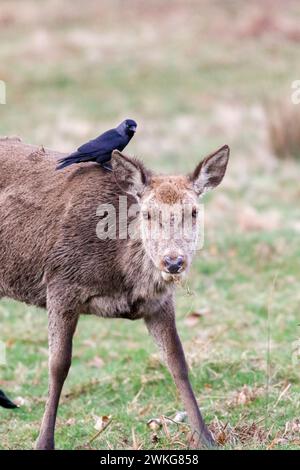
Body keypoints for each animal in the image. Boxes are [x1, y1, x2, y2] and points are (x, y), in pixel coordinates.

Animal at [0, 136, 230, 448]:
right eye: (147, 213)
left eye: (193, 212)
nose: (173, 262)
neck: (120, 274)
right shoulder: (60, 282)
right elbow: (58, 365)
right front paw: (44, 441)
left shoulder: (158, 303)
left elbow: (177, 362)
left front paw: (206, 437)